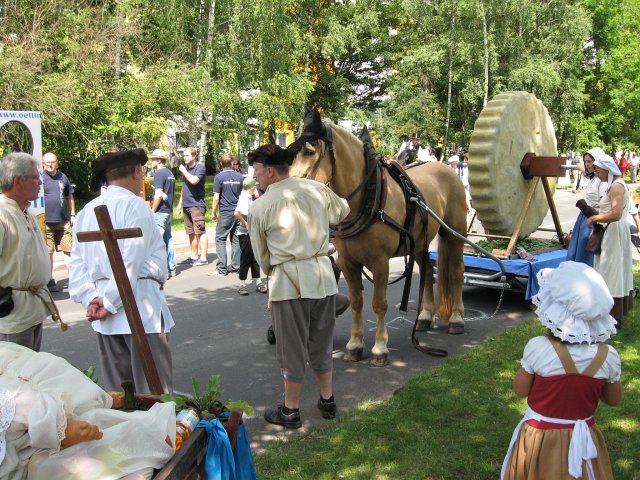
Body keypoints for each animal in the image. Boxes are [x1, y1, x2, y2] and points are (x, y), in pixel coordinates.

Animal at [288, 107, 468, 366]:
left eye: (310, 151)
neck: (367, 198)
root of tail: (446, 168)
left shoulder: (380, 262)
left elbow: (379, 304)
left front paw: (380, 348)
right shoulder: (348, 262)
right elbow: (356, 302)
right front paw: (354, 345)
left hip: (455, 234)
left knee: (456, 272)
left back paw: (456, 319)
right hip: (421, 241)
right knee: (426, 272)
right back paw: (424, 317)